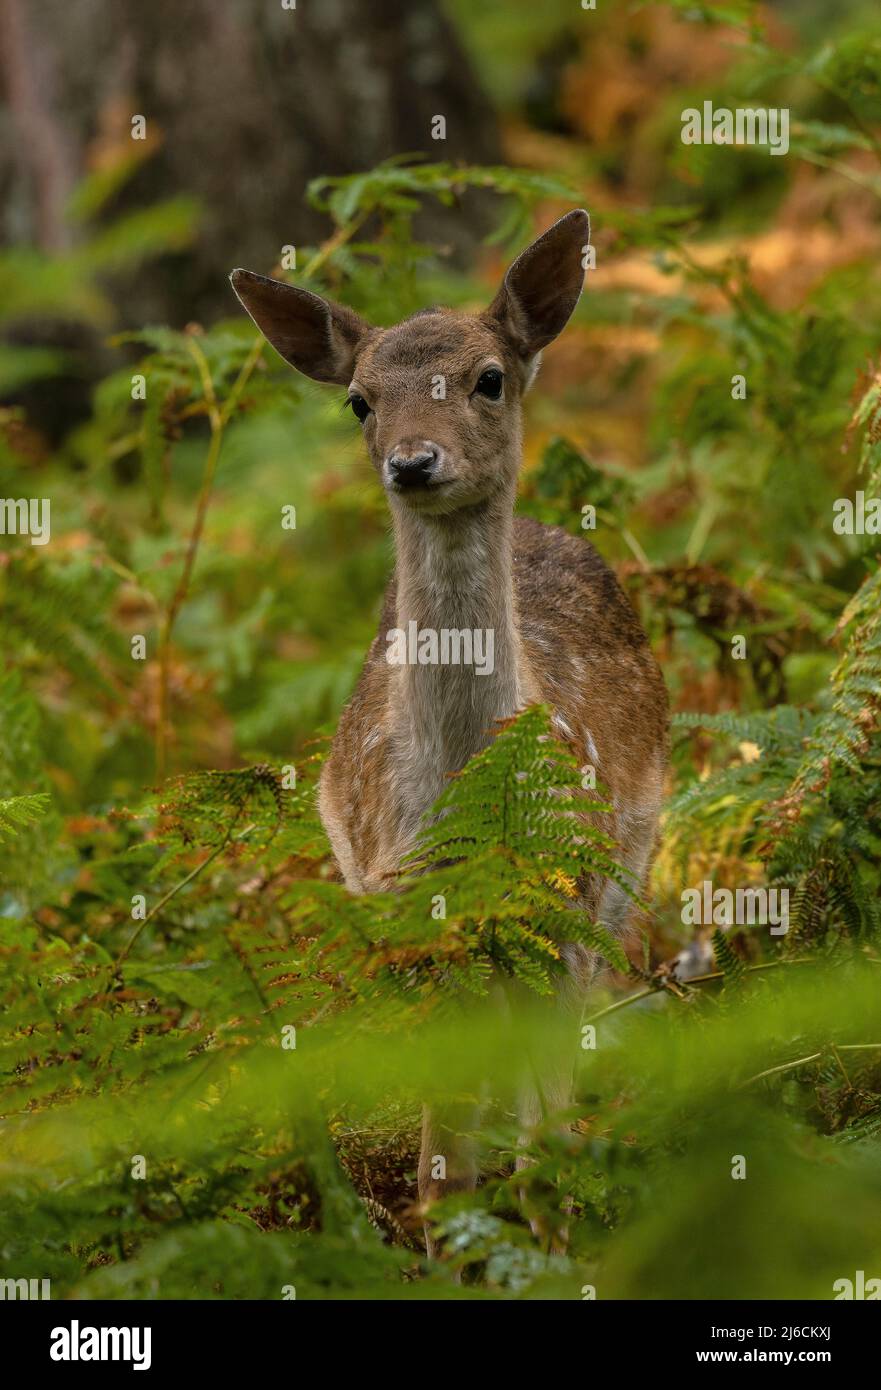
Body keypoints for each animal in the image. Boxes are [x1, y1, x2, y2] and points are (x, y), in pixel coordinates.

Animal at [230, 208, 668, 1255]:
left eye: (488, 377)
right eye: (358, 402)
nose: (413, 462)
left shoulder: (566, 893)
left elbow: (547, 1143)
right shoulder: (404, 914)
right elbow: (442, 1170)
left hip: (622, 880)